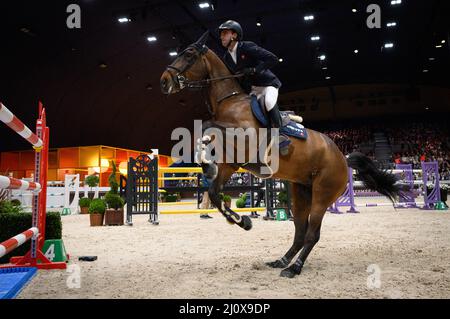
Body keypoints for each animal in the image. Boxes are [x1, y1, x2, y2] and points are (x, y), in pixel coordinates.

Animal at [159, 31, 400, 278]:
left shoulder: (246, 140)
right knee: (300, 231)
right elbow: (215, 193)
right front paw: (242, 220)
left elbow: (207, 125)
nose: (164, 80)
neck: (229, 101)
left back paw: (294, 268)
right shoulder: (231, 164)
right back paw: (281, 261)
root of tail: (343, 158)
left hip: (322, 194)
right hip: (301, 191)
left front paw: (208, 164)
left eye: (188, 53)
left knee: (312, 234)